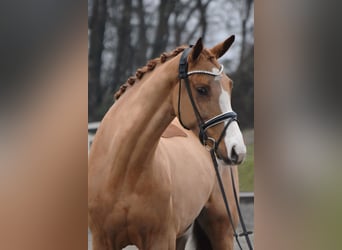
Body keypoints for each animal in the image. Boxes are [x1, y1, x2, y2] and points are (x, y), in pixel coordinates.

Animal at [88, 36, 246, 249]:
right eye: (202, 89)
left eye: (230, 85)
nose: (237, 149)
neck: (124, 172)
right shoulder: (102, 240)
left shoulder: (160, 240)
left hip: (222, 231)